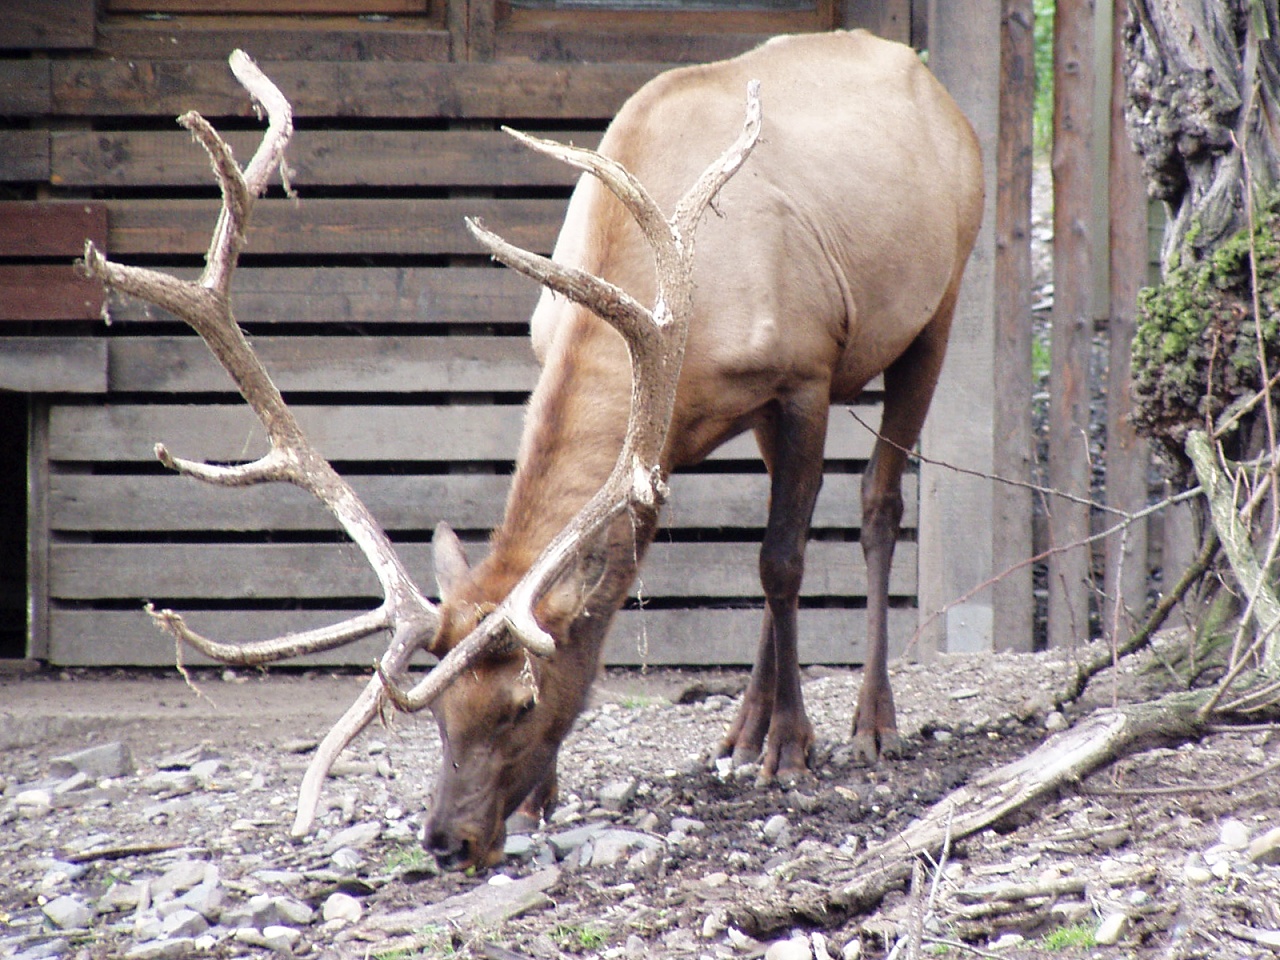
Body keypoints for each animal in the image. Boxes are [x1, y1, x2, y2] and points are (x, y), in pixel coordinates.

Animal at [85, 30, 983, 875]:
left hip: (937, 307)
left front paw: (791, 749)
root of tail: (937, 87)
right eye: (438, 711)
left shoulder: (802, 376)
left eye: (521, 702)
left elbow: (784, 562)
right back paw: (743, 727)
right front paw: (542, 800)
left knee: (875, 507)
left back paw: (869, 722)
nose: (447, 840)